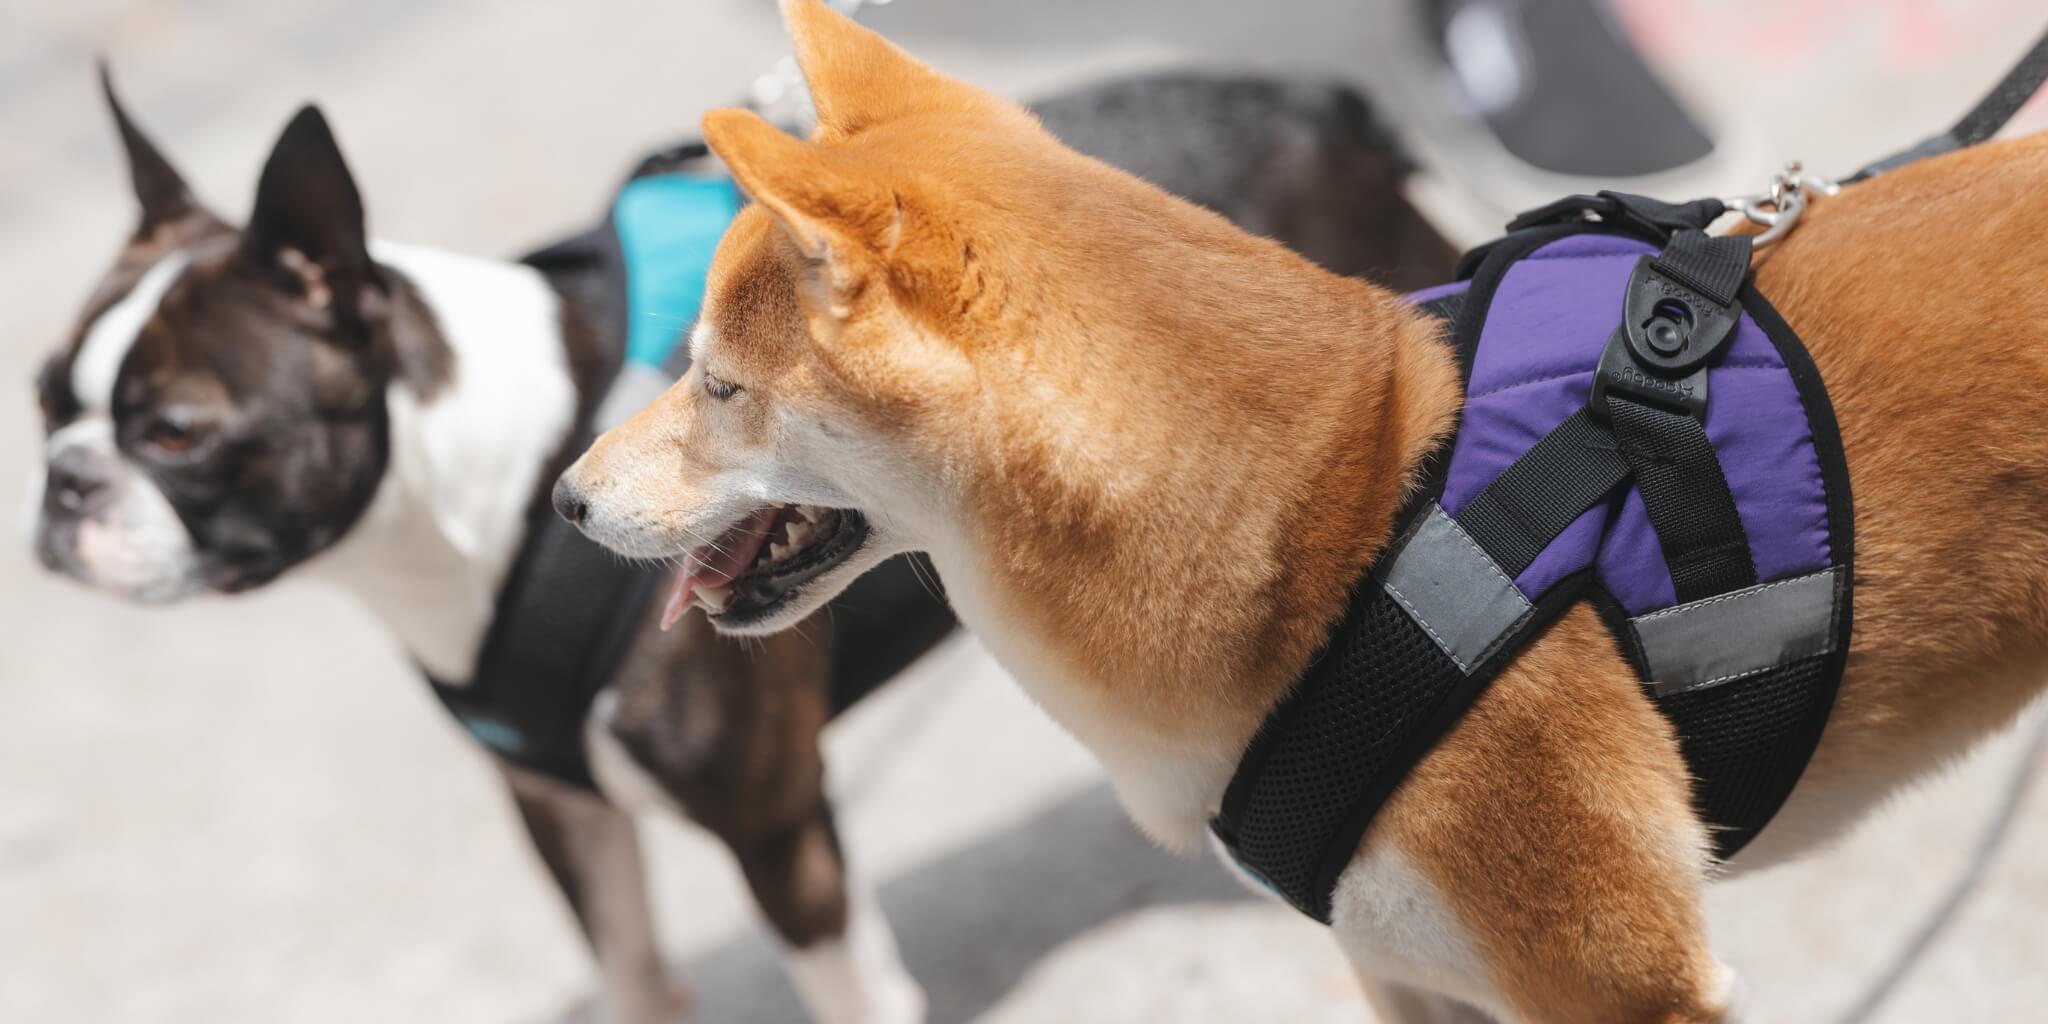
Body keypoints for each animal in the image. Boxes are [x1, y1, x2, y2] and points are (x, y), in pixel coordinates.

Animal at [24, 68, 1449, 1019]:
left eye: (176, 433)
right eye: (43, 401)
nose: (62, 485)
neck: (469, 483)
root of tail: (1321, 97)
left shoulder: (780, 828)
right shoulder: (561, 812)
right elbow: (634, 972)